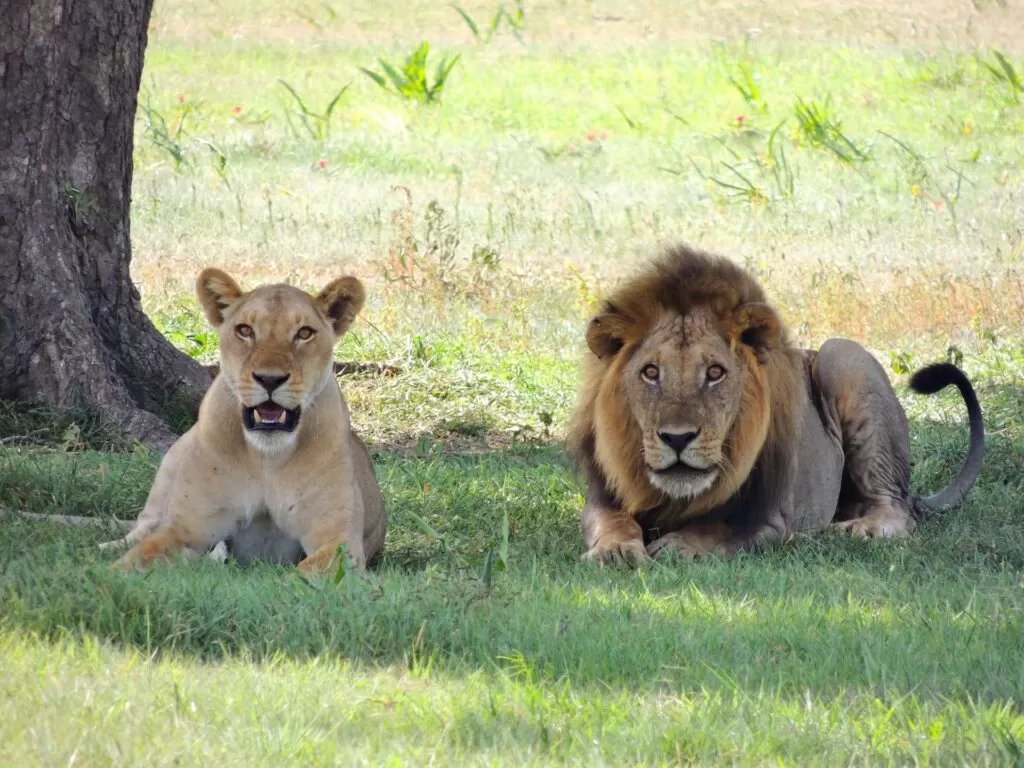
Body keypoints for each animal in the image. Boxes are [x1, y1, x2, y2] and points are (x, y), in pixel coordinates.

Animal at [103, 268, 386, 574]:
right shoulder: (184, 529)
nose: (270, 379)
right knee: (142, 527)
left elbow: (306, 573)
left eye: (304, 333)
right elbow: (135, 559)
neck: (267, 458)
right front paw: (103, 574)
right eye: (245, 330)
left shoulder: (339, 541)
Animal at [568, 245, 985, 564]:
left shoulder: (773, 518)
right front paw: (616, 551)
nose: (677, 438)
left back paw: (856, 530)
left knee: (897, 510)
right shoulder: (602, 498)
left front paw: (679, 545)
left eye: (715, 373)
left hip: (842, 356)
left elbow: (718, 529)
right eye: (651, 372)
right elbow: (613, 522)